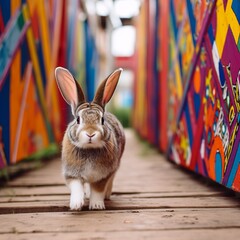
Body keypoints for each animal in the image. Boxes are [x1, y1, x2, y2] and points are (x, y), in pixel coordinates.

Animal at [54, 66, 125, 210]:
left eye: (102, 120)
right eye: (78, 119)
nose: (90, 133)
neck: (89, 148)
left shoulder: (103, 176)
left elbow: (98, 189)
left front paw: (97, 205)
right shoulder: (71, 174)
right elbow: (76, 187)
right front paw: (76, 204)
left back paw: (106, 195)